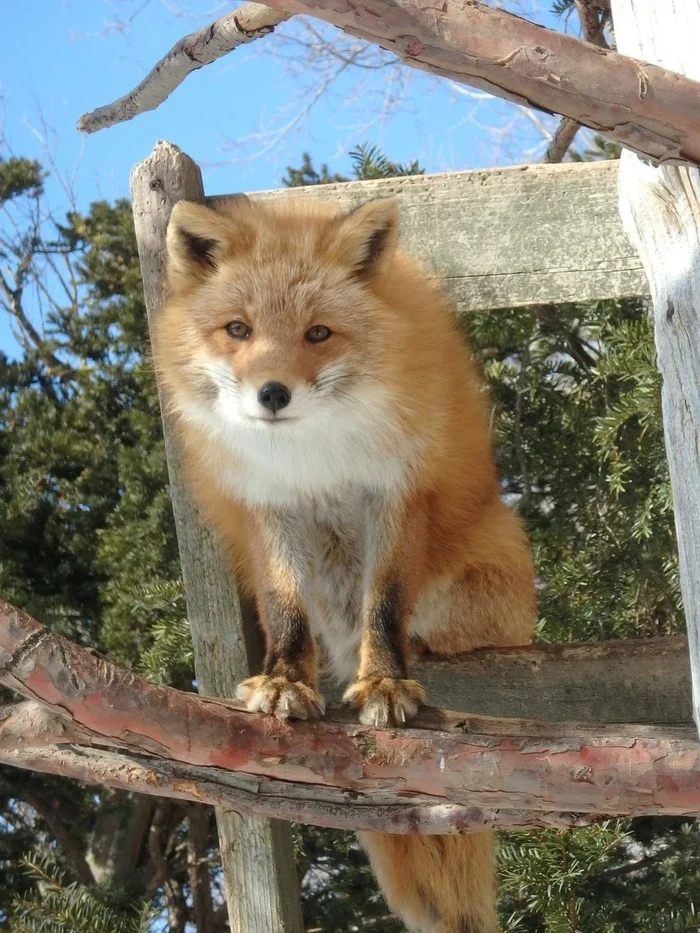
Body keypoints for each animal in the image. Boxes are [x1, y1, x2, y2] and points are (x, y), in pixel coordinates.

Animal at [153, 195, 536, 932]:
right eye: (238, 330)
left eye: (318, 333)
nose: (272, 393)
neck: (314, 459)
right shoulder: (267, 505)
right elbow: (283, 610)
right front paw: (283, 680)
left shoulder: (394, 490)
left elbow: (383, 602)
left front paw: (385, 681)